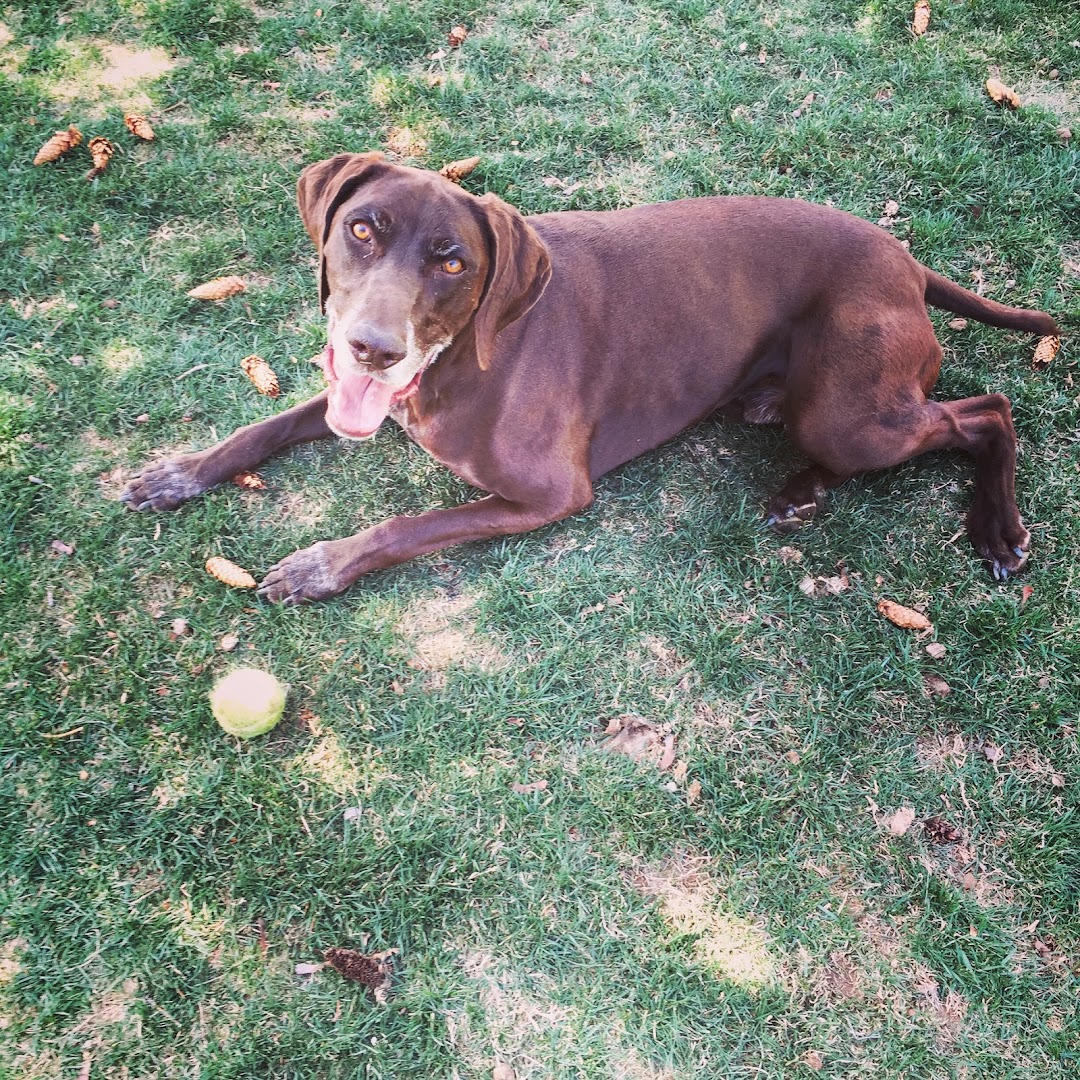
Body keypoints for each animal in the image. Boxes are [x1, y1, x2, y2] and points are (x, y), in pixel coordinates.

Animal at [121, 152, 1060, 603]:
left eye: (453, 261)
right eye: (361, 228)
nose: (372, 348)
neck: (457, 365)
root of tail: (906, 259)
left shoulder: (548, 493)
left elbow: (409, 525)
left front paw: (322, 565)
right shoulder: (368, 399)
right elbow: (267, 424)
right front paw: (181, 473)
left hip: (849, 409)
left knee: (988, 408)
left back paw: (998, 528)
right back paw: (798, 491)